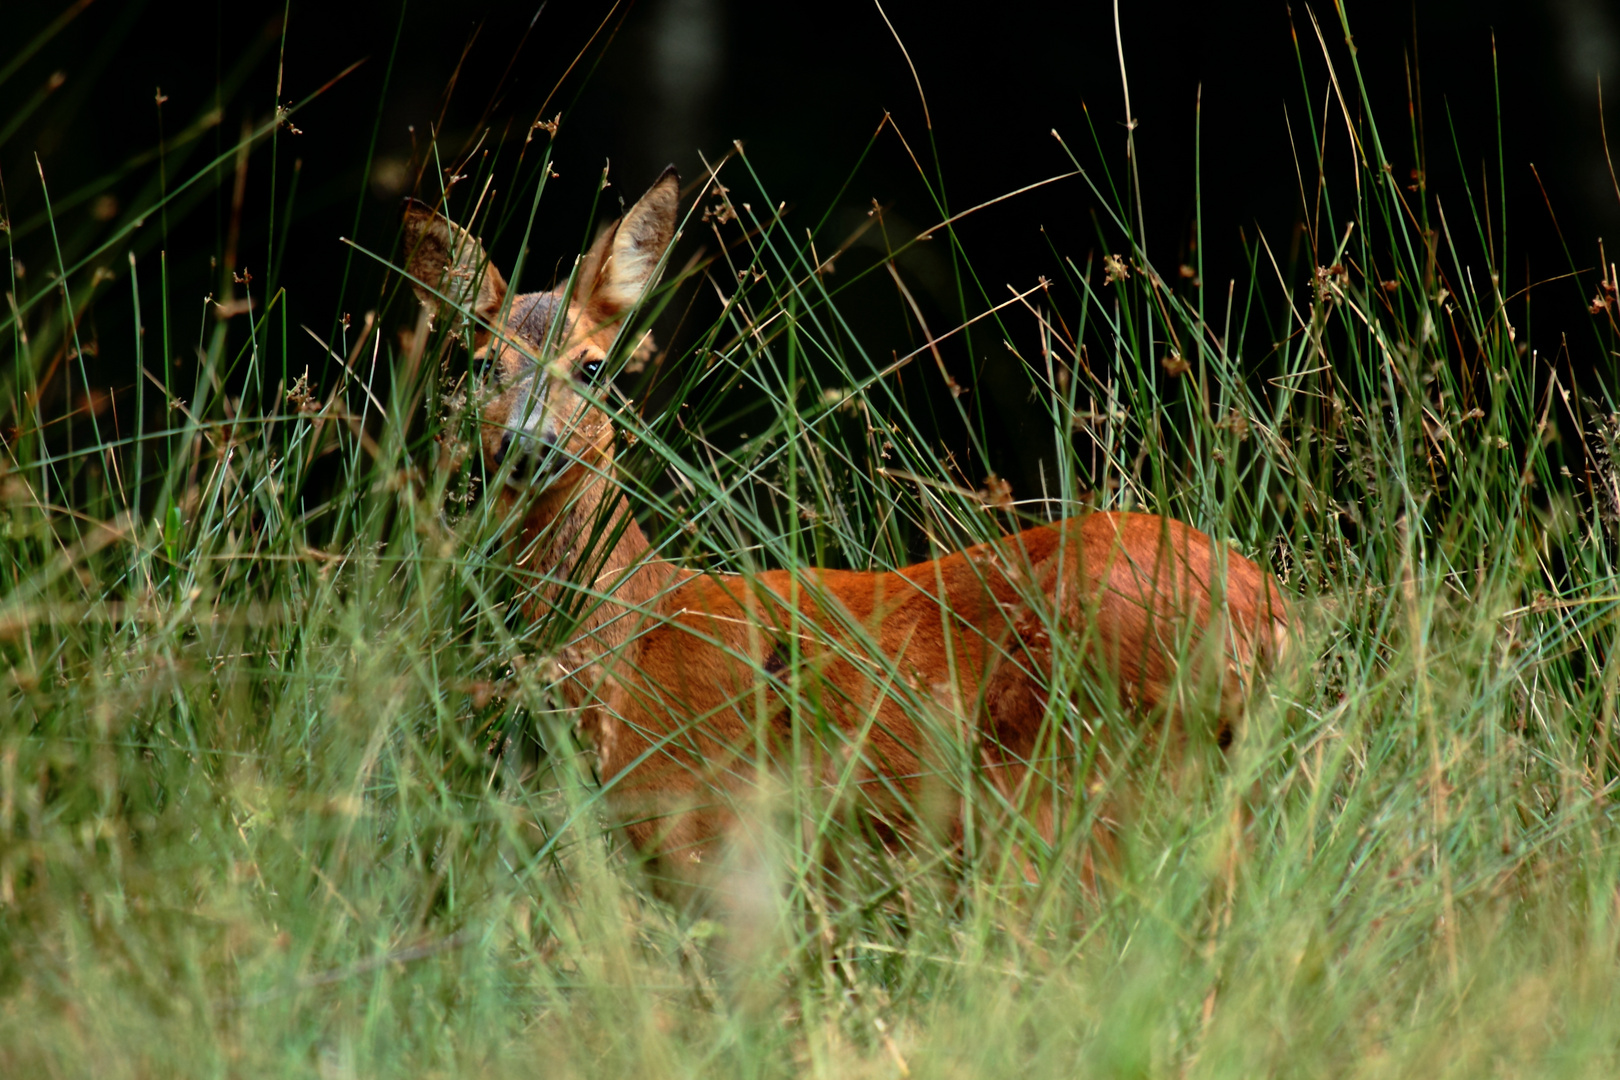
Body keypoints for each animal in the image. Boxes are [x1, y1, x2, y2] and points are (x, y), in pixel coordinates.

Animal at [401, 166, 1289, 893]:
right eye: (476, 365)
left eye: (592, 367)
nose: (528, 444)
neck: (638, 630)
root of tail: (1269, 612)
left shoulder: (703, 833)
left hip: (1076, 772)